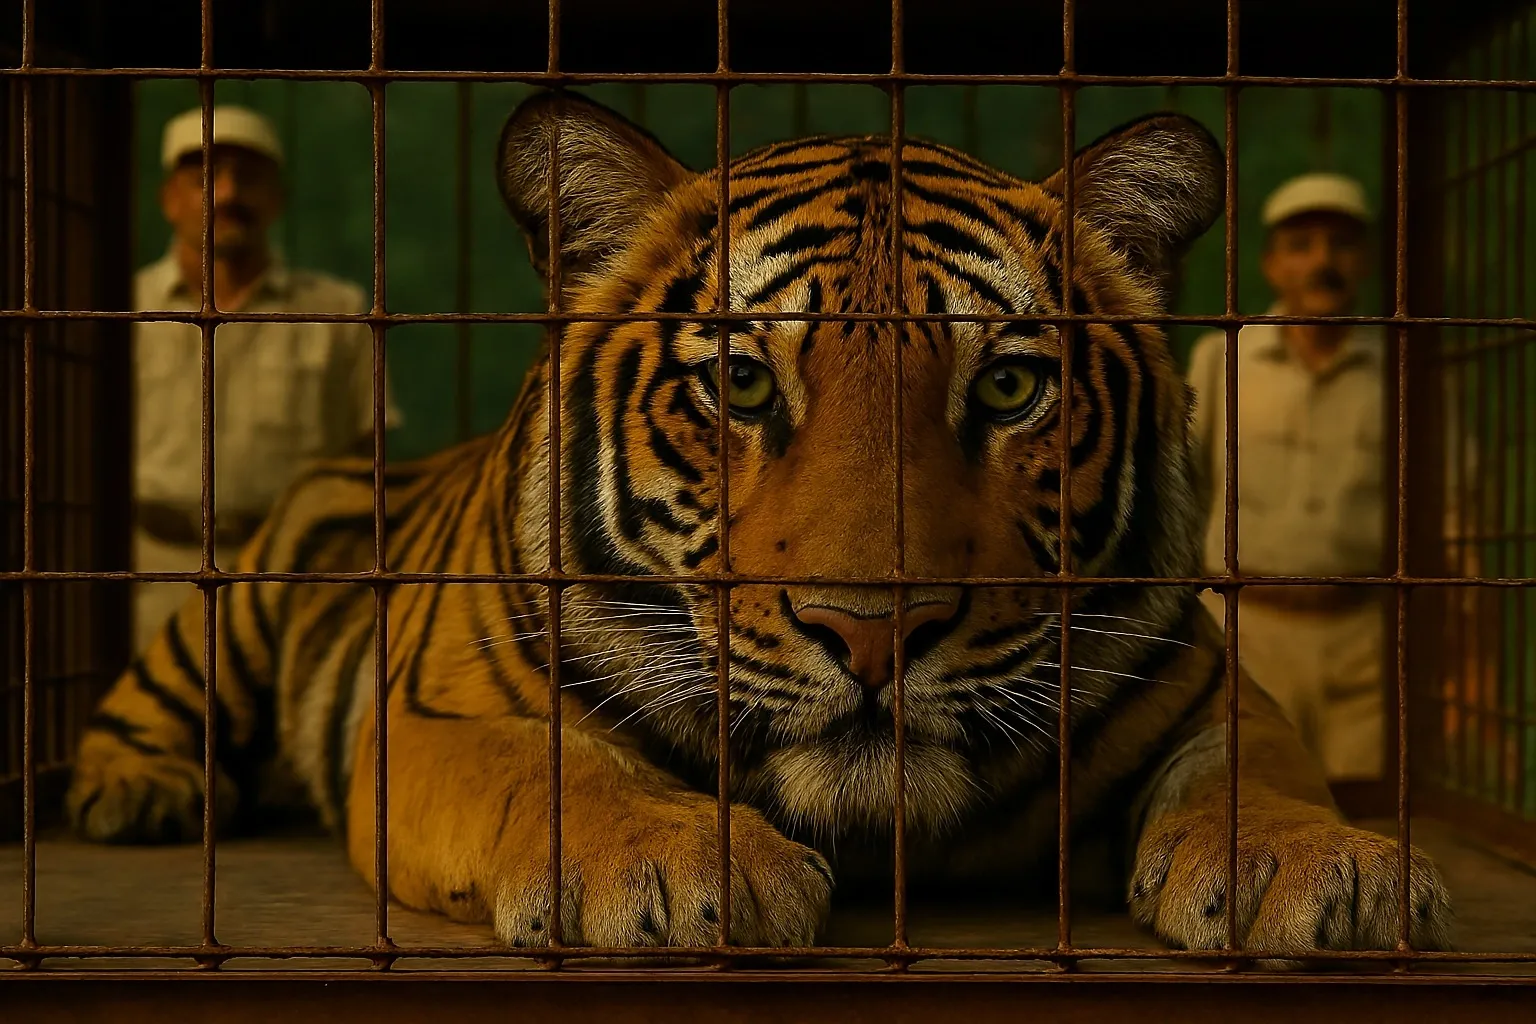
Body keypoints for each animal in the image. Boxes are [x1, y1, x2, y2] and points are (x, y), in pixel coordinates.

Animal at [66, 90, 1453, 954]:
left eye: (1010, 387)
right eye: (740, 383)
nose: (876, 633)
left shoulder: (1206, 682)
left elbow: (1255, 770)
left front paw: (1325, 869)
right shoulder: (442, 710)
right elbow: (557, 764)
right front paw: (671, 863)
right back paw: (136, 795)